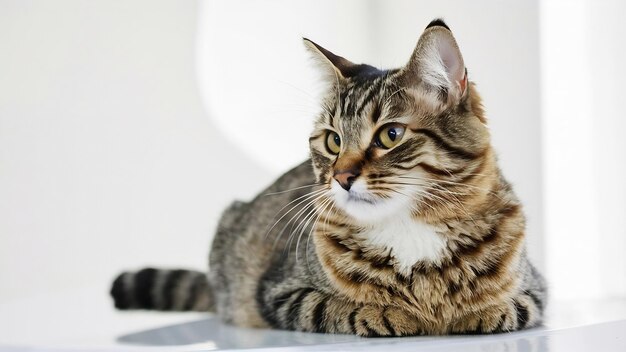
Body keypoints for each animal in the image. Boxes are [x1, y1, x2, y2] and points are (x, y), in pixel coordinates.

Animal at [109, 18, 544, 336]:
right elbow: (335, 306)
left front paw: (471, 312)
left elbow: (509, 308)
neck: (409, 228)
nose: (341, 177)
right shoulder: (279, 291)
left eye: (390, 134)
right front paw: (393, 313)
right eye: (333, 140)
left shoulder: (536, 291)